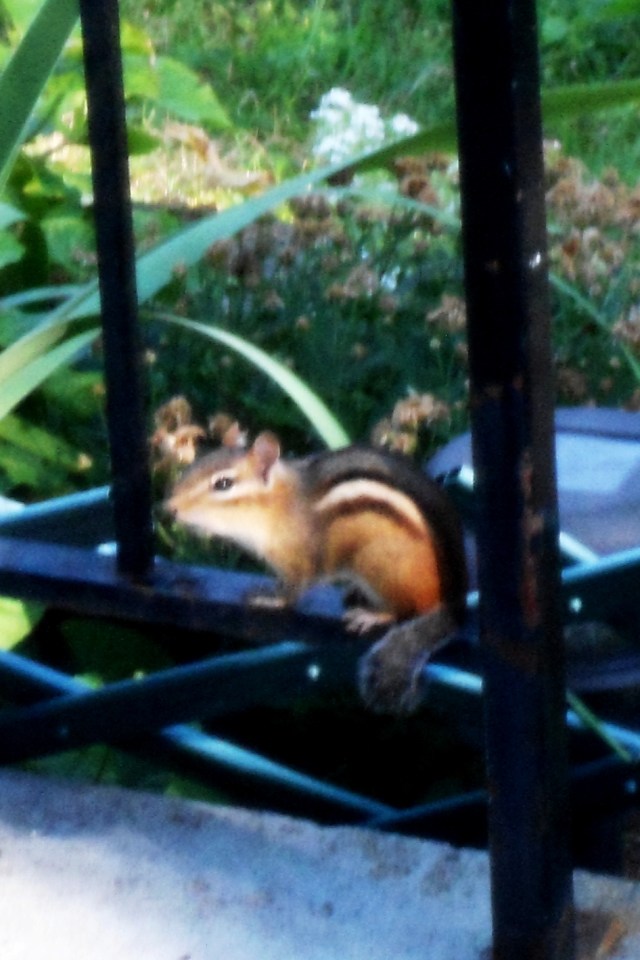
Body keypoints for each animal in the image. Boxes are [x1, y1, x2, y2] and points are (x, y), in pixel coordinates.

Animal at [164, 431, 468, 713]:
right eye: (196, 465)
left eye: (223, 484)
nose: (169, 508)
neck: (278, 504)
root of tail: (453, 605)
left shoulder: (298, 559)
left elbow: (293, 589)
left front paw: (271, 597)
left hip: (379, 563)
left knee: (406, 609)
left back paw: (373, 614)